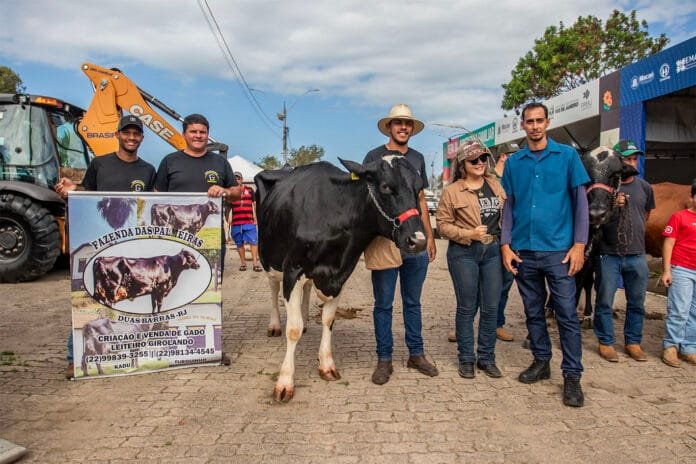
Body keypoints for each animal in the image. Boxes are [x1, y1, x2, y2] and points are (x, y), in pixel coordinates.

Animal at [255, 157, 426, 402]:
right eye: (386, 187)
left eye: (419, 188)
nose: (418, 240)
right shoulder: (293, 269)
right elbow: (293, 329)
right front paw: (285, 382)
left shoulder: (342, 274)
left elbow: (328, 320)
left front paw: (326, 365)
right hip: (269, 258)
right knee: (272, 288)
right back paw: (275, 325)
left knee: (307, 291)